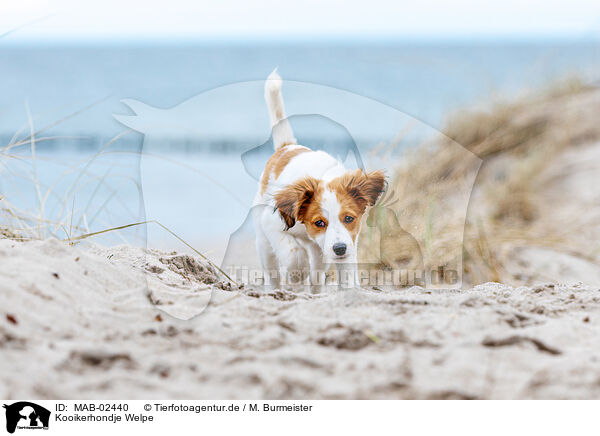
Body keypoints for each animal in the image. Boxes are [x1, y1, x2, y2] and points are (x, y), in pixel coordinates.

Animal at [252, 70, 384, 290]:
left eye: (349, 218)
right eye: (319, 222)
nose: (339, 249)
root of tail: (287, 147)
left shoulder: (349, 240)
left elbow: (346, 274)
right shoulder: (271, 223)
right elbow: (294, 256)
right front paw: (296, 274)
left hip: (319, 252)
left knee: (317, 274)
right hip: (263, 242)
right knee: (272, 273)